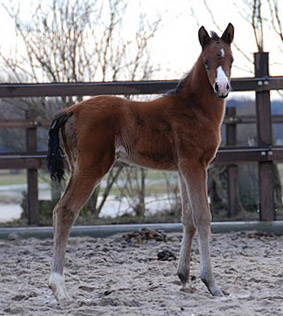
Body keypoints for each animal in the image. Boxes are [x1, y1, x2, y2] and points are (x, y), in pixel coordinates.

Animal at [48, 22, 235, 302]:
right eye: (206, 61)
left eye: (230, 59)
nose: (222, 88)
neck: (195, 110)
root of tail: (71, 110)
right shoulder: (195, 165)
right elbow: (203, 218)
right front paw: (211, 284)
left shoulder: (183, 168)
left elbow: (188, 219)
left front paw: (184, 278)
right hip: (92, 166)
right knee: (66, 210)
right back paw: (59, 287)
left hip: (76, 166)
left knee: (60, 210)